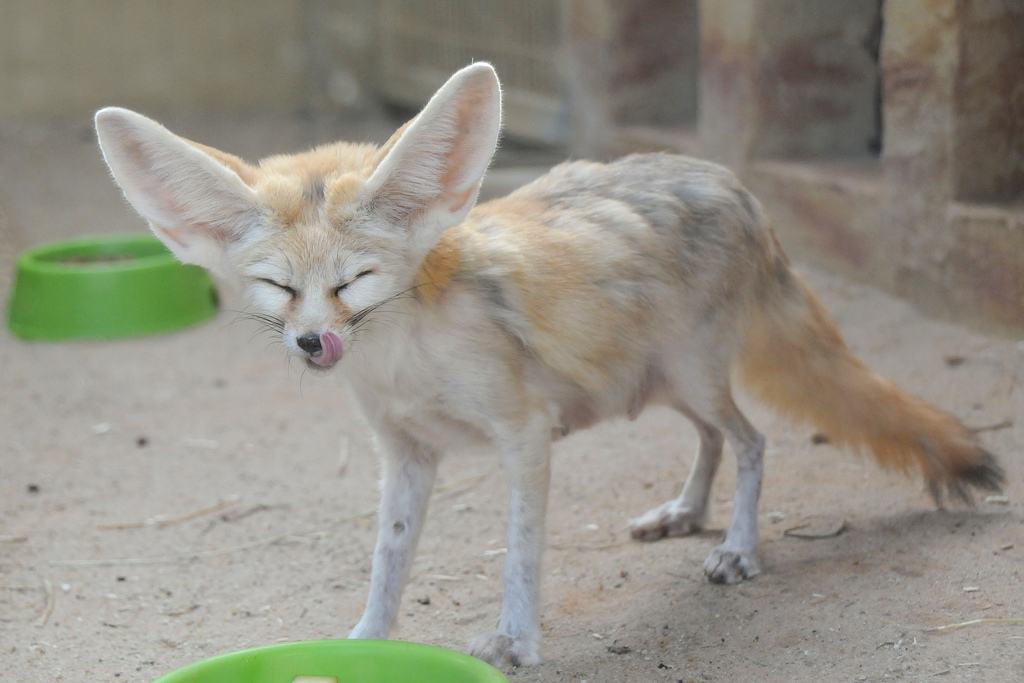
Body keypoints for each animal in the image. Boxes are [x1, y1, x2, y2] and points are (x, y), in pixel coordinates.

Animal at [92, 62, 1003, 667]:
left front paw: (515, 638)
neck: (404, 362)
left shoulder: (524, 435)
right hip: (657, 383)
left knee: (752, 440)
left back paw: (738, 547)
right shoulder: (405, 453)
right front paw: (365, 641)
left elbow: (521, 553)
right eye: (279, 290)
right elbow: (389, 559)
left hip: (689, 374)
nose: (314, 344)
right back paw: (685, 511)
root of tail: (725, 178)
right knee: (716, 439)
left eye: (354, 282)